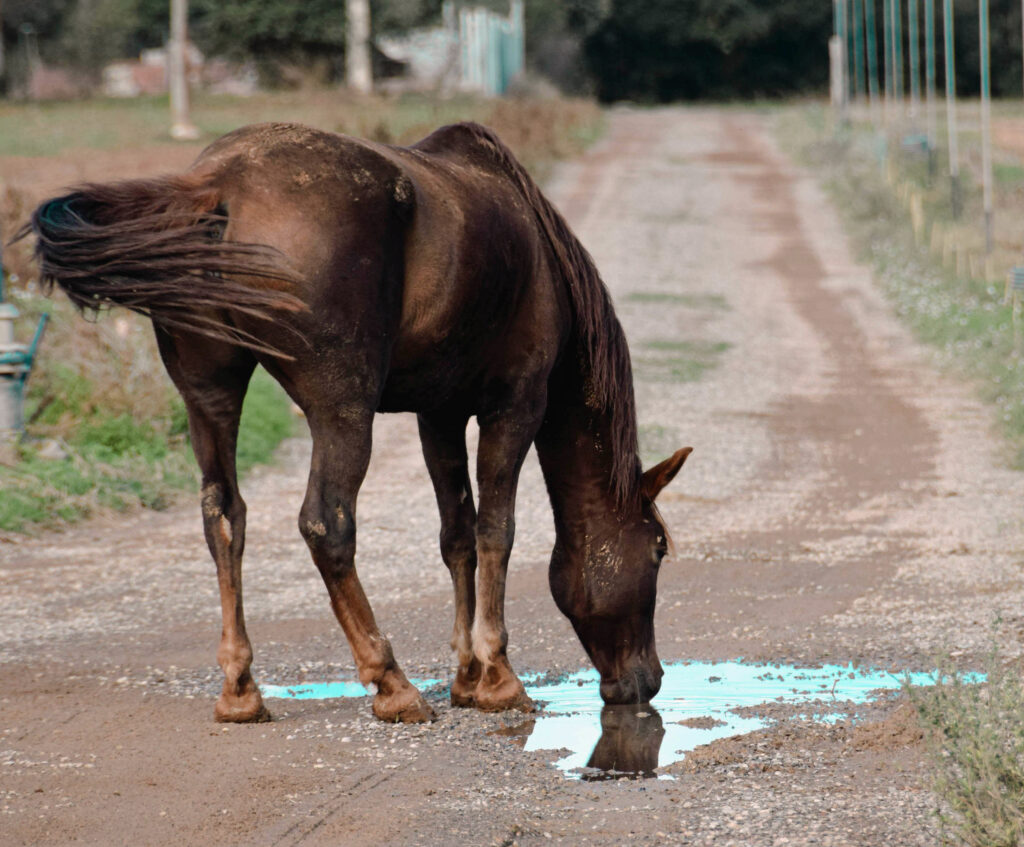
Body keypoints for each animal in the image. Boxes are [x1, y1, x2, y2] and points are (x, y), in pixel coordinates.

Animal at [22, 122, 688, 725]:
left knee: (224, 519)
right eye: (658, 549)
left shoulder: (438, 414)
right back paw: (391, 684)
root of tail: (218, 185)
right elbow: (496, 531)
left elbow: (457, 537)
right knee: (327, 525)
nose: (648, 680)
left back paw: (240, 691)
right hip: (343, 410)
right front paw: (498, 678)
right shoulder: (514, 405)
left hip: (210, 398)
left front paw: (466, 678)